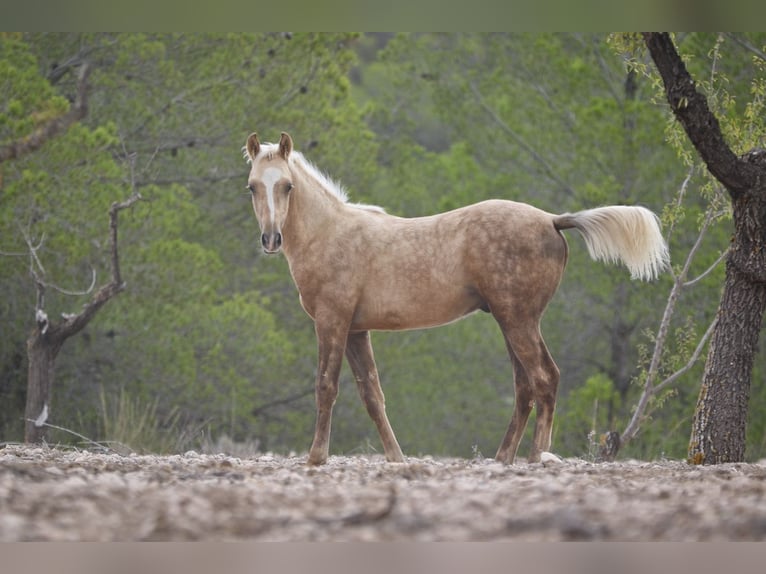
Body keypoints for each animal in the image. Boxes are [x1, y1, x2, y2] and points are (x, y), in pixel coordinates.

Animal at [246, 133, 672, 466]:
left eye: (287, 185)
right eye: (252, 185)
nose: (271, 239)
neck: (330, 233)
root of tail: (552, 220)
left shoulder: (331, 322)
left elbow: (326, 386)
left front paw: (316, 457)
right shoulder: (356, 330)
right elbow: (372, 395)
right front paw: (396, 458)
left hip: (519, 320)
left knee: (544, 379)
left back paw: (537, 457)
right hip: (510, 321)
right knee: (524, 387)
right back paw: (503, 458)